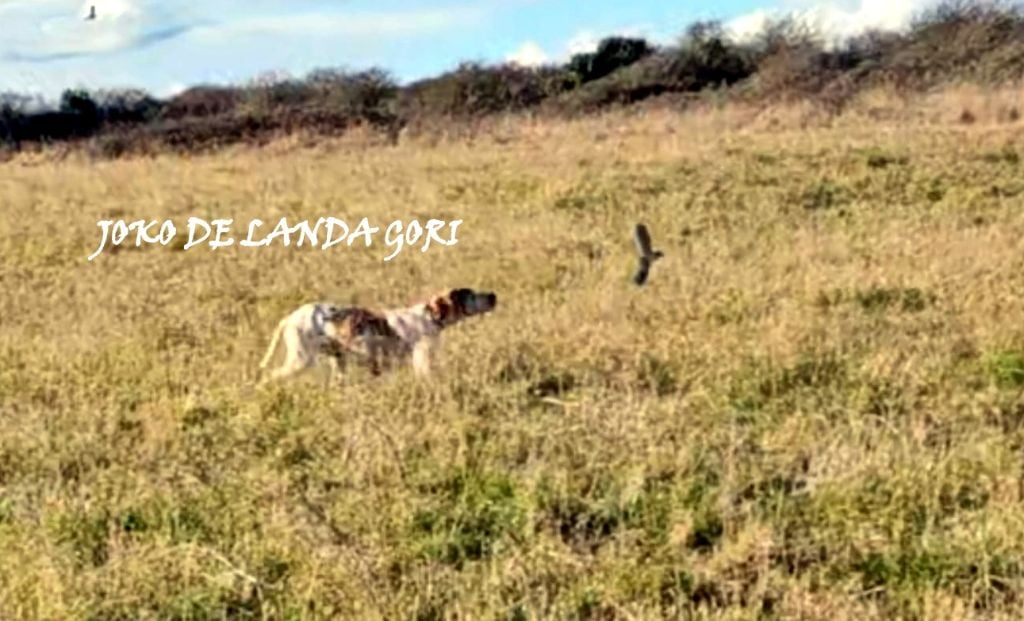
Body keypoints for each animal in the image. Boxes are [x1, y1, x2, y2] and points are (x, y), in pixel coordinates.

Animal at [256, 288, 495, 385]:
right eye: (471, 294)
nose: (493, 295)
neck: (429, 316)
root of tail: (290, 317)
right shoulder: (422, 364)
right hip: (300, 360)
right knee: (269, 378)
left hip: (338, 363)